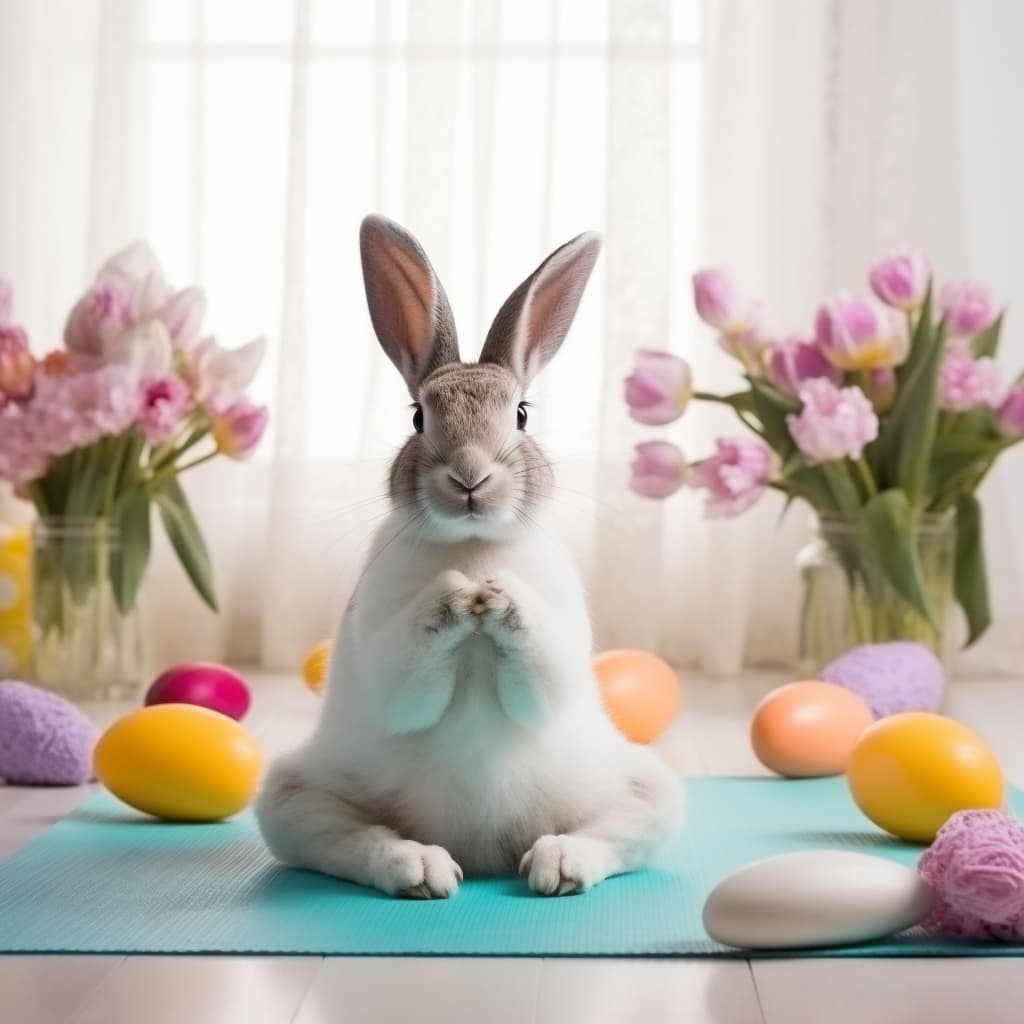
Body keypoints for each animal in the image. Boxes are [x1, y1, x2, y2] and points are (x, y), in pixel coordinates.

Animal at [254, 216, 679, 897]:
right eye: (418, 417)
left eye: (523, 414)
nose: (470, 476)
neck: (473, 543)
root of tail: (481, 853)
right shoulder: (385, 651)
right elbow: (404, 682)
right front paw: (461, 594)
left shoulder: (555, 649)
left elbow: (542, 678)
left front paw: (496, 596)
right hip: (292, 793)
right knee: (348, 838)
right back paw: (421, 869)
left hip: (648, 786)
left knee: (613, 830)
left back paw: (557, 865)